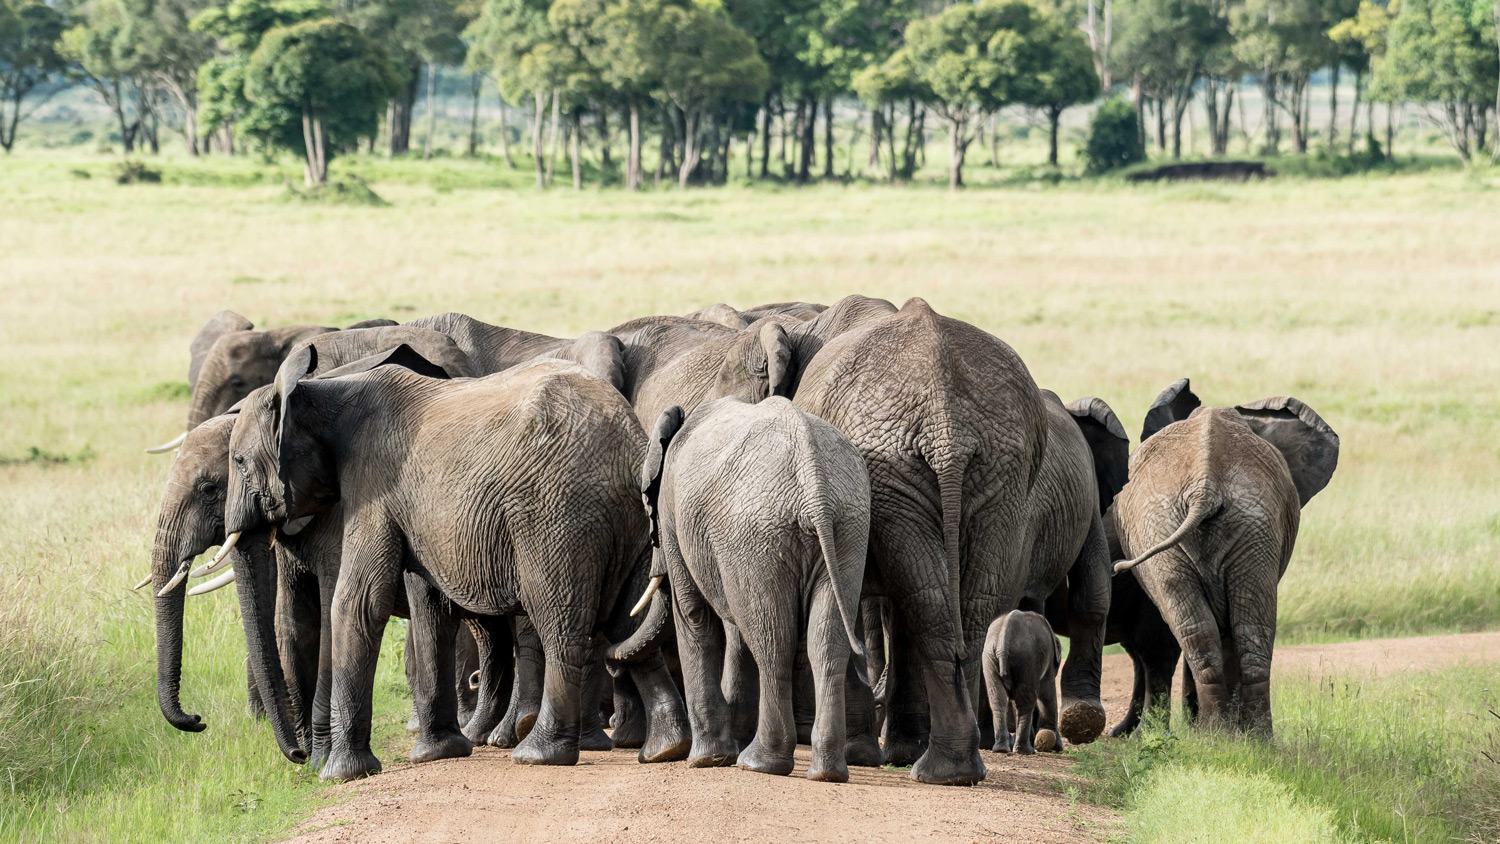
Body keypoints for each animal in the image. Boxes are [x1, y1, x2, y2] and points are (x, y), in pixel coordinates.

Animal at [222, 346, 690, 785]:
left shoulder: (371, 483)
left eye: (239, 462)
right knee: (629, 624)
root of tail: (627, 442)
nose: (299, 756)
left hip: (556, 516)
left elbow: (358, 602)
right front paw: (438, 753)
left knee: (560, 623)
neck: (322, 389)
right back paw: (665, 750)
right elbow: (431, 608)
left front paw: (340, 775)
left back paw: (538, 754)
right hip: (633, 522)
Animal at [639, 398, 876, 785]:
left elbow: (693, 615)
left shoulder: (674, 514)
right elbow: (734, 631)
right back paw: (827, 772)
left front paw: (707, 760)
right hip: (847, 529)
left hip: (755, 532)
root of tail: (813, 480)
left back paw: (757, 763)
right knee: (825, 643)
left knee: (772, 642)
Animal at [984, 611, 1068, 755]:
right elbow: (1047, 694)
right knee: (1026, 701)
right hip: (1027, 658)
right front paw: (1057, 747)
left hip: (990, 656)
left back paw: (1001, 749)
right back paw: (1025, 750)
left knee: (998, 699)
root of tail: (1003, 641)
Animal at [1110, 379, 1344, 737]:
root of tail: (1204, 487)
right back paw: (1244, 736)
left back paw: (1224, 734)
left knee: (1214, 628)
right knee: (1243, 626)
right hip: (1223, 526)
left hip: (1233, 527)